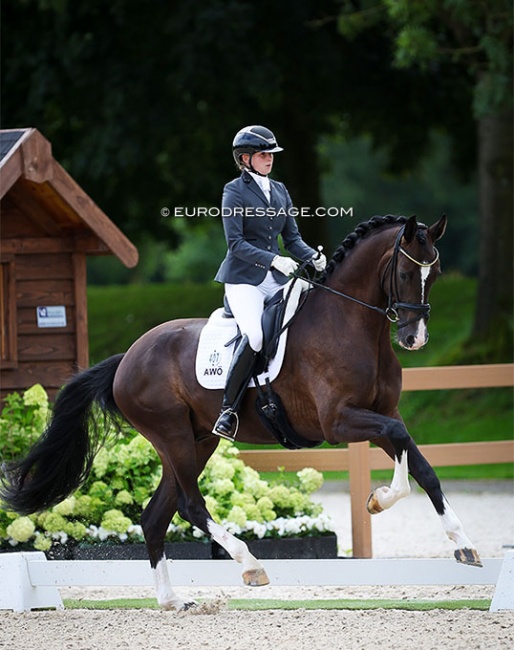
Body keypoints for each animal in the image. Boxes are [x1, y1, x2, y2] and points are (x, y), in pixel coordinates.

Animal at [0, 214, 480, 608]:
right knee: (191, 506)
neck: (353, 325)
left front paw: (463, 544)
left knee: (155, 516)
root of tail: (127, 358)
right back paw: (249, 565)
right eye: (404, 272)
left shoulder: (384, 413)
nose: (415, 338)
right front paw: (379, 500)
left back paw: (173, 601)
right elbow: (401, 447)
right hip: (173, 435)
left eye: (436, 273)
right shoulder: (339, 422)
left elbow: (420, 464)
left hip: (198, 441)